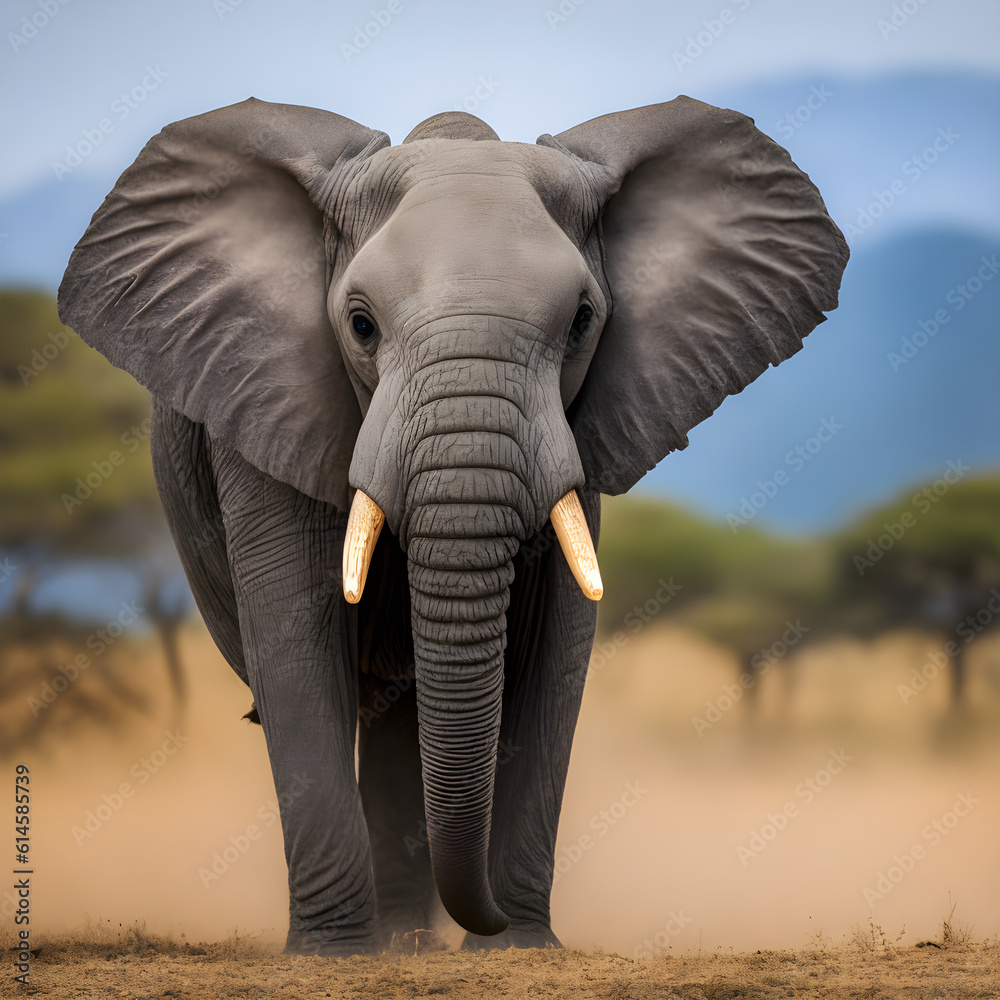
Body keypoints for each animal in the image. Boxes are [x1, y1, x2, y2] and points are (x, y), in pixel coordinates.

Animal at [57, 95, 848, 955]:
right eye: (360, 325)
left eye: (582, 321)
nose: (490, 913)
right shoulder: (266, 399)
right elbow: (300, 646)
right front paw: (334, 957)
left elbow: (552, 654)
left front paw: (518, 949)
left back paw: (410, 940)